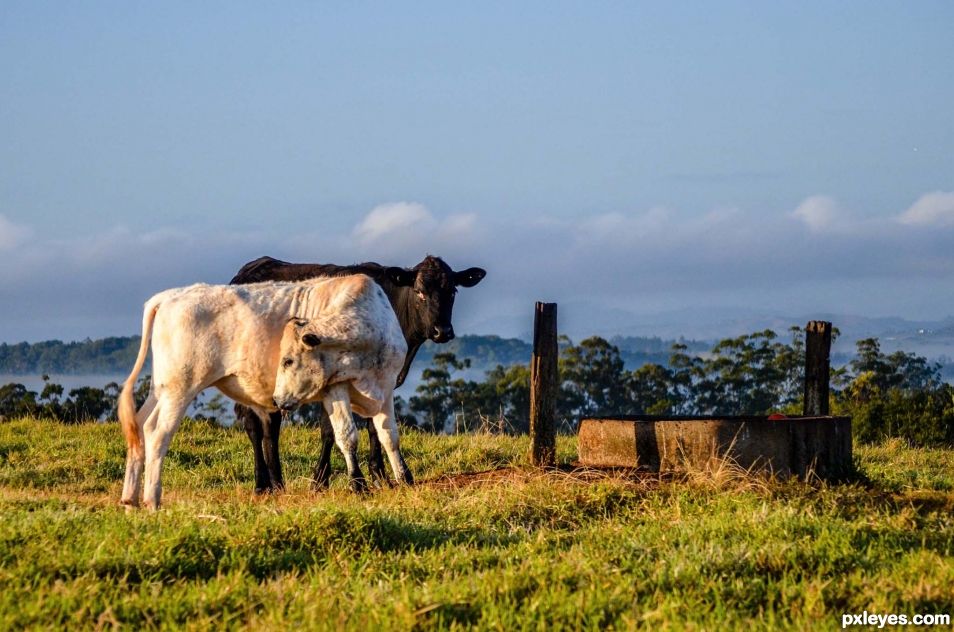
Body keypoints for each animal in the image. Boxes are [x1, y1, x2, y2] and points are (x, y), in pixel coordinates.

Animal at [117, 274, 408, 512]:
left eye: (288, 360)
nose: (277, 400)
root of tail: (169, 296)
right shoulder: (334, 388)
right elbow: (347, 436)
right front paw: (358, 484)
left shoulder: (386, 388)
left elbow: (389, 436)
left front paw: (404, 478)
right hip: (180, 388)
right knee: (158, 433)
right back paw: (152, 500)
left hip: (161, 389)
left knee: (140, 427)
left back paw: (130, 500)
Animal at [230, 254, 484, 492]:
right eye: (419, 291)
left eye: (453, 291)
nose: (442, 331)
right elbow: (329, 431)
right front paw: (320, 480)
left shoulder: (384, 381)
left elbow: (375, 428)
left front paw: (380, 476)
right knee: (255, 427)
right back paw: (262, 483)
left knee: (269, 427)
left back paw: (276, 483)